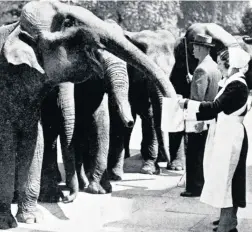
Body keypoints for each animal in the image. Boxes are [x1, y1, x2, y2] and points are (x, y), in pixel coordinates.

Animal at [0, 0, 177, 228]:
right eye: (68, 22)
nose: (68, 199)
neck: (15, 28)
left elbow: (35, 142)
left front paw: (32, 219)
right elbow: (7, 145)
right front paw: (8, 223)